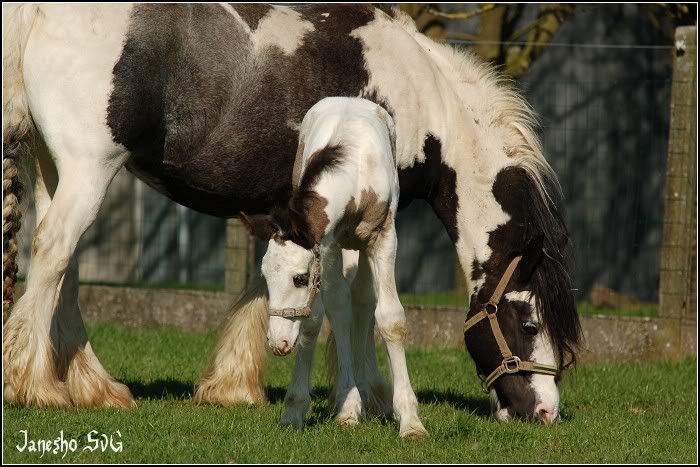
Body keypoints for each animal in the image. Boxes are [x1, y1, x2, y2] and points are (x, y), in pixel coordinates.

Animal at [241, 97, 426, 440]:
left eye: (299, 278)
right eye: (267, 279)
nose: (277, 344)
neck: (354, 172)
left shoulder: (384, 237)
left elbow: (391, 318)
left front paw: (410, 422)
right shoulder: (326, 244)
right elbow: (317, 319)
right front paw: (297, 411)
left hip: (362, 245)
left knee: (363, 301)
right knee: (342, 307)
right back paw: (350, 403)